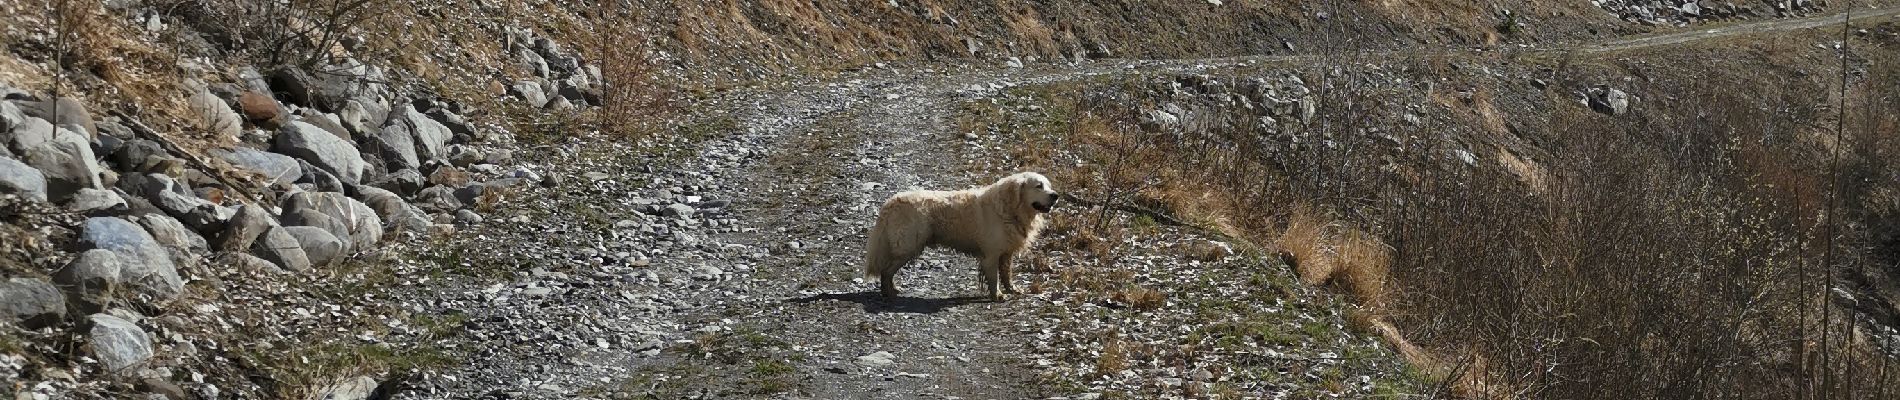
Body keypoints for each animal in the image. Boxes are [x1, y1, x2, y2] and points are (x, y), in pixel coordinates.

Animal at [870, 171, 1064, 299]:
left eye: (1049, 186)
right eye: (1038, 186)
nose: (1055, 195)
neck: (1009, 209)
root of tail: (891, 201)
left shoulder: (1006, 252)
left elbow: (1006, 273)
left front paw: (1012, 289)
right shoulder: (991, 254)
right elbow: (994, 277)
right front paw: (997, 295)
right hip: (908, 246)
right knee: (886, 271)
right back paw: (888, 292)